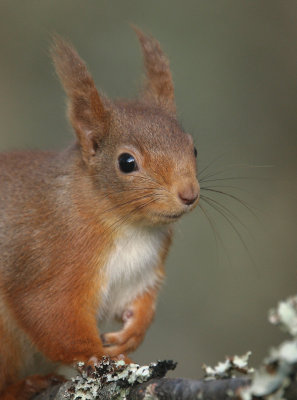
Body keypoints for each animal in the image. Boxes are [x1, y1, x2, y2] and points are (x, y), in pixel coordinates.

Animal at [0, 27, 199, 396]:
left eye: (193, 148)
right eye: (127, 162)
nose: (189, 194)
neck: (128, 226)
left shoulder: (142, 271)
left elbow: (140, 304)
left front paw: (132, 333)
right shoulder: (47, 259)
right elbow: (49, 314)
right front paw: (99, 357)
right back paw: (25, 385)